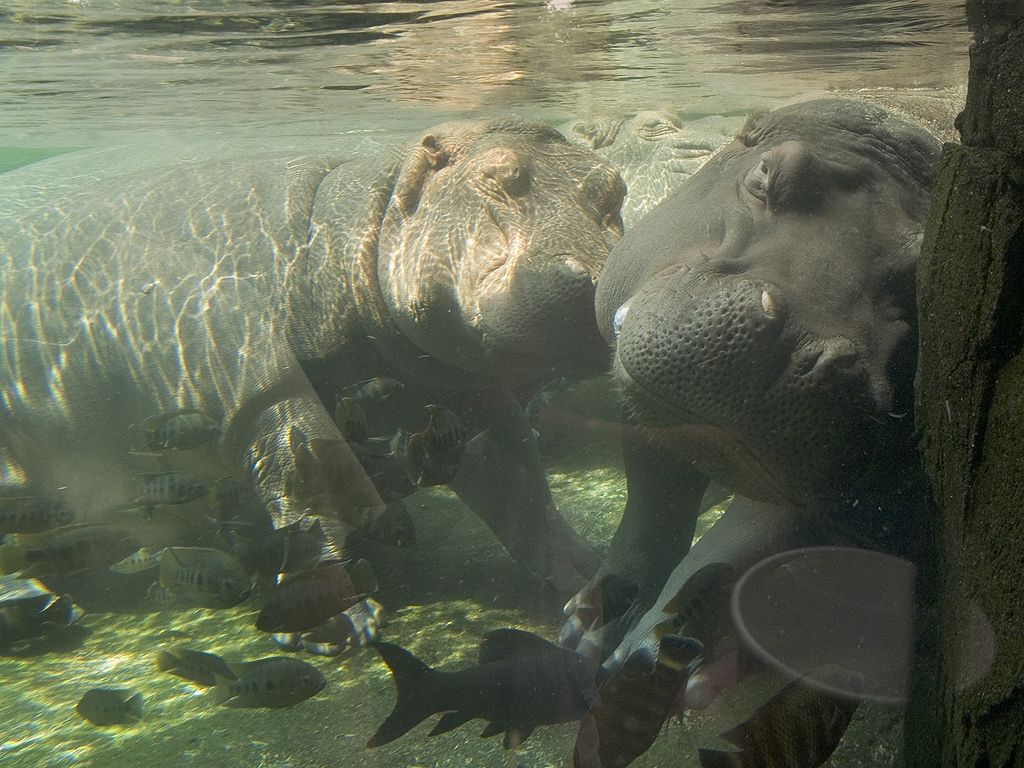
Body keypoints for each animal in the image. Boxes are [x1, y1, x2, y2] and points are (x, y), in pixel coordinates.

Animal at [0, 117, 622, 593]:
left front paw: (586, 580)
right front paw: (336, 606)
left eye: (613, 187)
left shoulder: (461, 395)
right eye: (495, 176)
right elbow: (304, 479)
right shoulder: (260, 388)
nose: (602, 281)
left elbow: (522, 487)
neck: (352, 225)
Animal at [565, 99, 937, 684]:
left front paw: (653, 648)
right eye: (767, 174)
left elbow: (743, 534)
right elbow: (652, 507)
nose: (795, 344)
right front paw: (588, 627)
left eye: (920, 273)